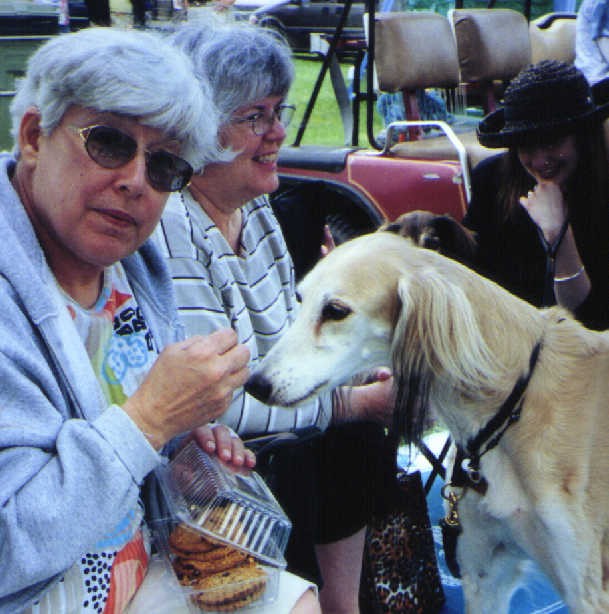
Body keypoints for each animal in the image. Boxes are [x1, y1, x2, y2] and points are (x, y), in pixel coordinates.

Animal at [246, 232, 609, 614]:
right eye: (300, 299)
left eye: (335, 311)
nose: (255, 384)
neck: (512, 403)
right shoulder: (485, 570)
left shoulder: (588, 591)